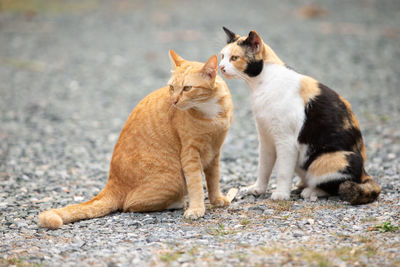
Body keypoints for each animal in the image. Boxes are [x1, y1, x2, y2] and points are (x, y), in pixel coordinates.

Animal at [38, 50, 233, 230]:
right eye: (171, 87)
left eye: (187, 88)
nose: (174, 101)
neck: (209, 110)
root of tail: (112, 182)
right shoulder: (190, 154)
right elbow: (196, 184)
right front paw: (197, 208)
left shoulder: (215, 151)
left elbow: (213, 179)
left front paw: (217, 199)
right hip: (174, 178)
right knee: (129, 205)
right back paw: (177, 202)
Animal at [220, 27, 380, 205]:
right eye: (222, 56)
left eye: (234, 58)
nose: (221, 67)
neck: (262, 84)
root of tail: (364, 173)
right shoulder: (266, 138)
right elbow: (263, 167)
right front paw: (257, 189)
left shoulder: (286, 141)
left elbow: (283, 171)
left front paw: (281, 194)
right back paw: (301, 185)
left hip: (335, 159)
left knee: (336, 185)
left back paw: (310, 191)